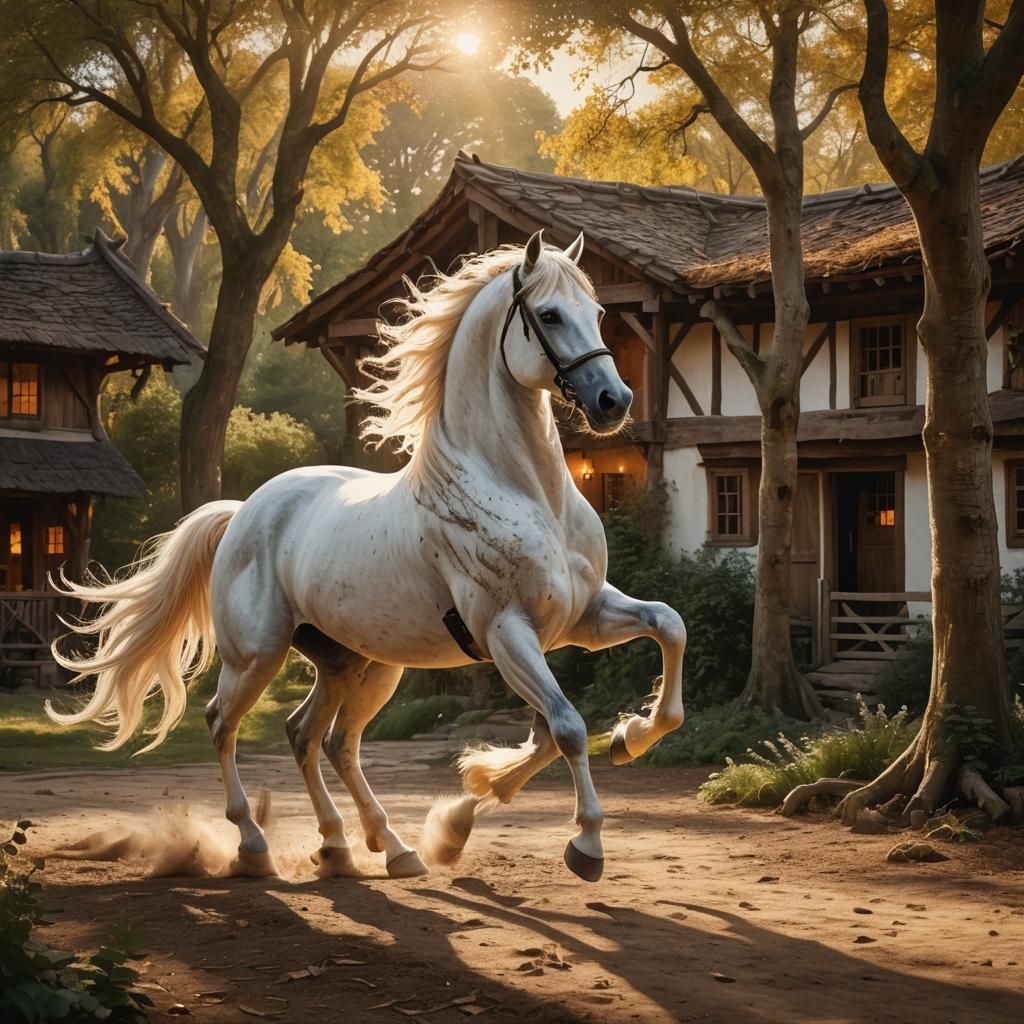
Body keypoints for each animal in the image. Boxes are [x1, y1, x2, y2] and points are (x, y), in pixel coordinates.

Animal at [48, 231, 687, 883]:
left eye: (599, 312)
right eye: (551, 314)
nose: (614, 401)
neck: (524, 491)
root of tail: (245, 510)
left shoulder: (580, 618)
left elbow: (666, 628)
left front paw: (625, 739)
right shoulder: (508, 632)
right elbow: (567, 727)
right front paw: (584, 843)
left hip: (357, 664)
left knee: (315, 737)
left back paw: (366, 846)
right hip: (258, 656)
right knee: (224, 723)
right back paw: (257, 846)